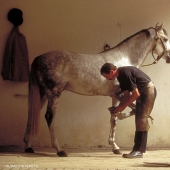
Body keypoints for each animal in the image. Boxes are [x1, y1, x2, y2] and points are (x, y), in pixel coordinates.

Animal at [23, 23, 170, 157]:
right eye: (166, 39)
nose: (169, 58)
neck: (123, 59)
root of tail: (38, 59)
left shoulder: (115, 96)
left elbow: (113, 118)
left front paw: (115, 147)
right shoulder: (120, 94)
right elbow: (124, 114)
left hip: (43, 94)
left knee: (32, 114)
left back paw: (29, 147)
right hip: (54, 93)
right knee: (49, 117)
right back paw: (59, 150)